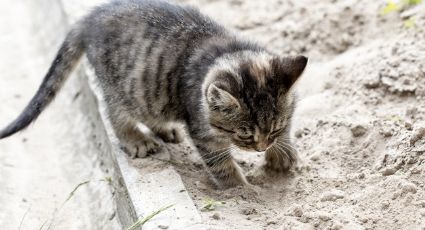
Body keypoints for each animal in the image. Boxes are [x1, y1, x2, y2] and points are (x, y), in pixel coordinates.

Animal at [0, 0, 306, 189]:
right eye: (244, 135)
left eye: (274, 128)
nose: (261, 148)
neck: (226, 49)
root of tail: (90, 17)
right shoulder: (202, 129)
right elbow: (220, 163)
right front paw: (241, 190)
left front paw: (282, 154)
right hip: (124, 88)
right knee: (115, 114)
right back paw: (136, 139)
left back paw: (165, 130)